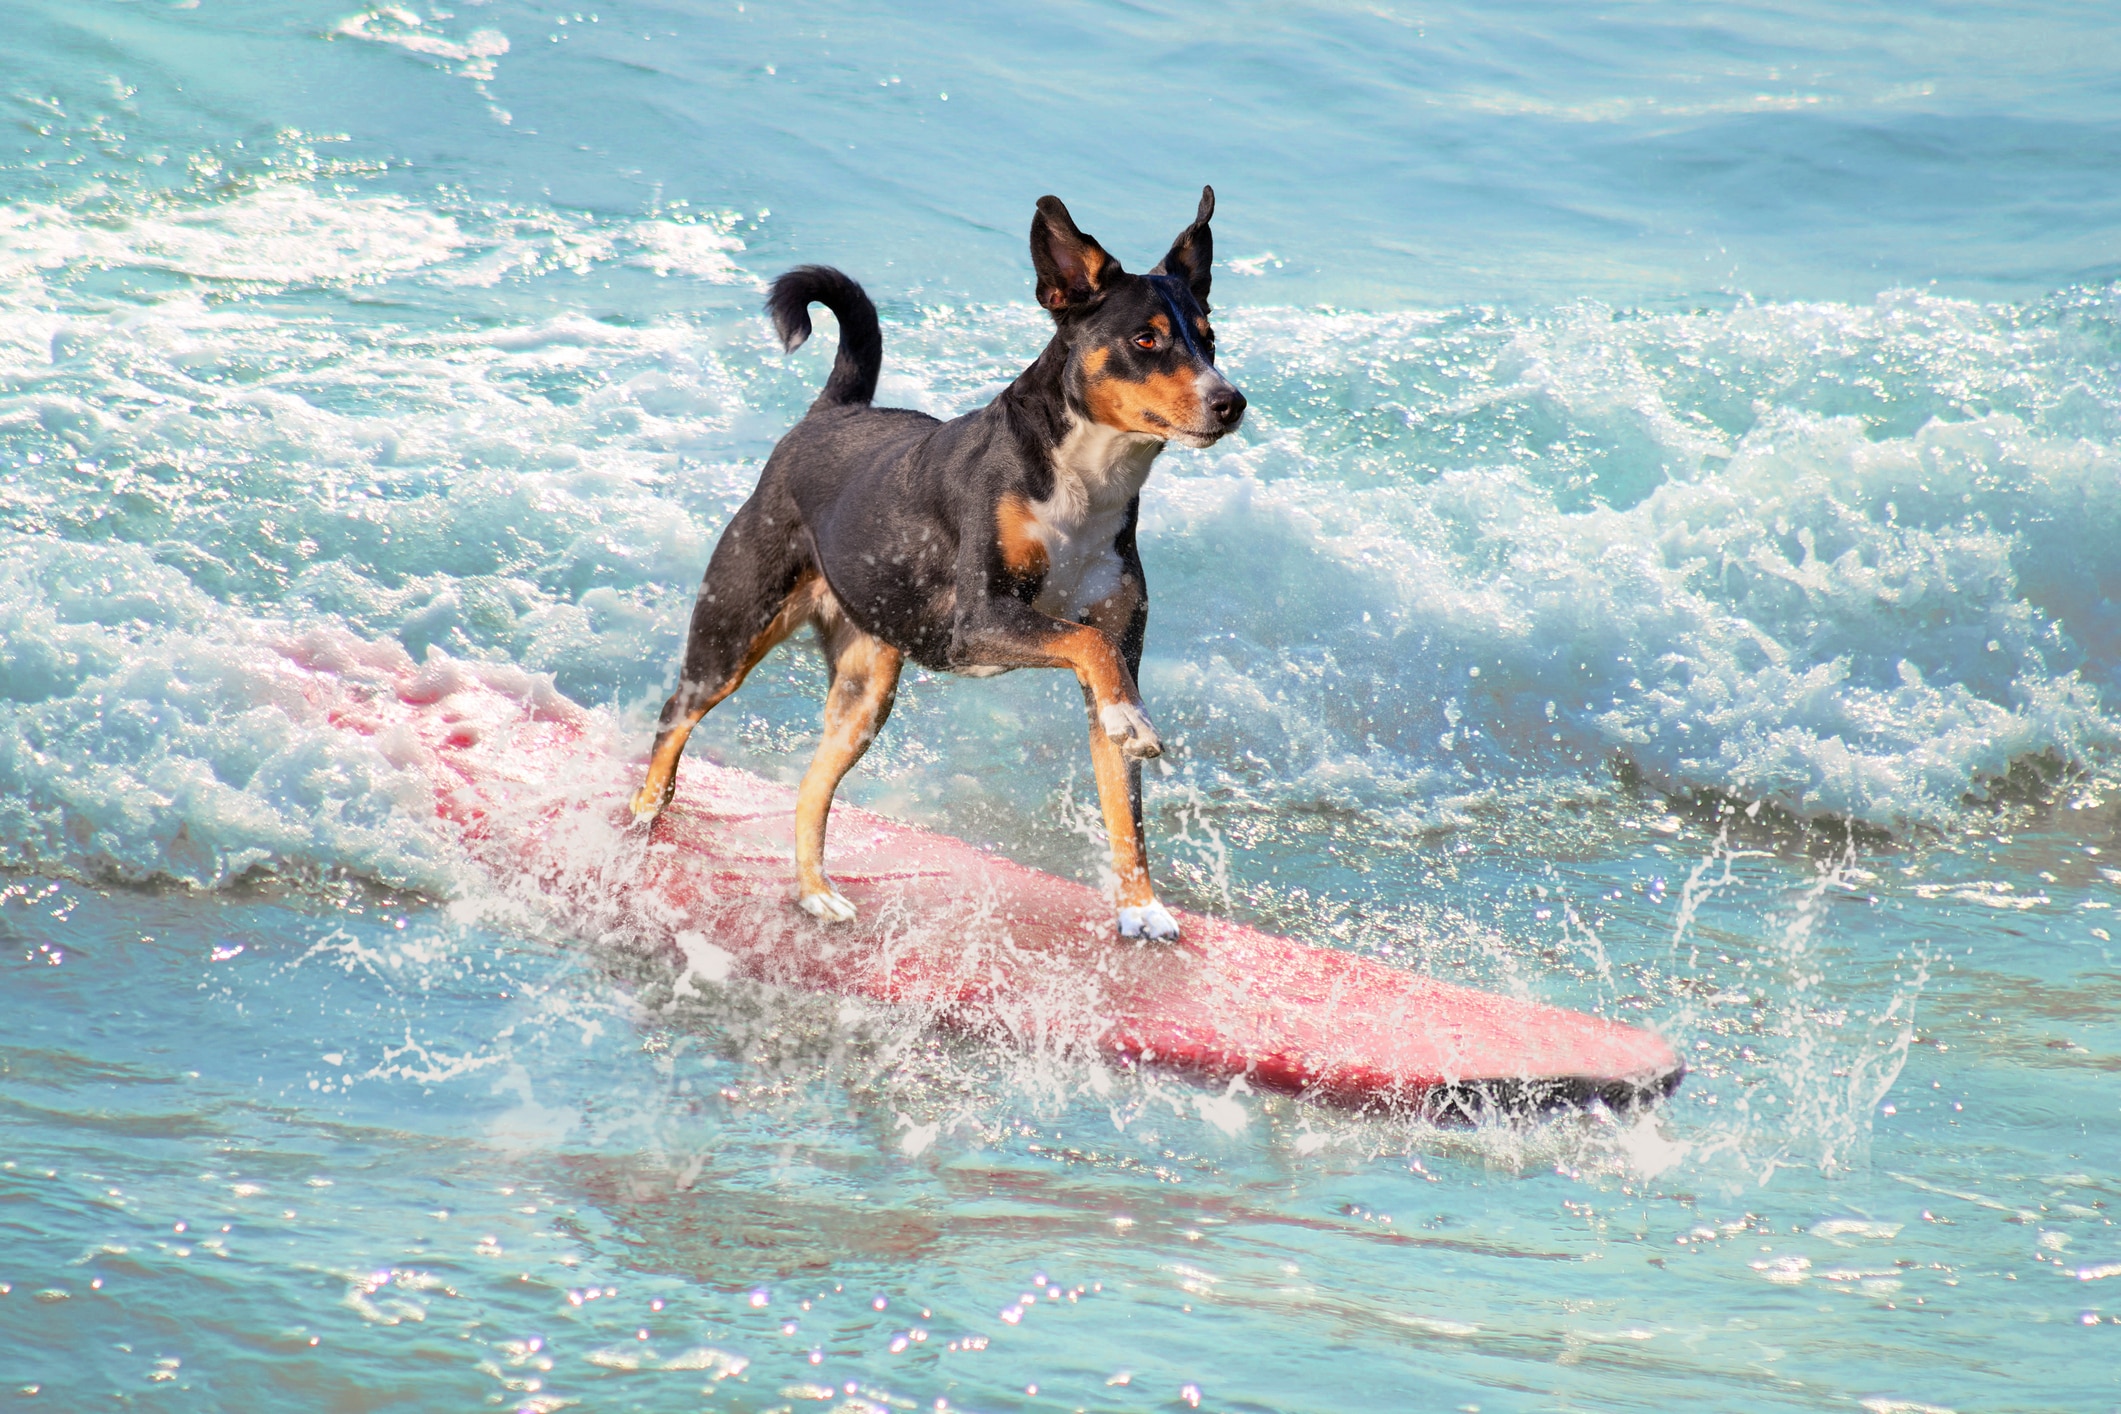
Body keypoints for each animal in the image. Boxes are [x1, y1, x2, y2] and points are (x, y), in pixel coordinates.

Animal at [627, 185, 1238, 941]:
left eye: (1209, 340)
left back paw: (814, 892)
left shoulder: (1113, 649)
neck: (1087, 482)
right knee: (674, 717)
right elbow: (1087, 646)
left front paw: (1140, 908)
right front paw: (1136, 725)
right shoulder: (980, 622)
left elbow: (1126, 806)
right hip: (732, 631)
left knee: (811, 786)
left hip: (865, 694)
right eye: (1146, 339)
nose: (1231, 401)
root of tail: (831, 412)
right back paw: (644, 814)